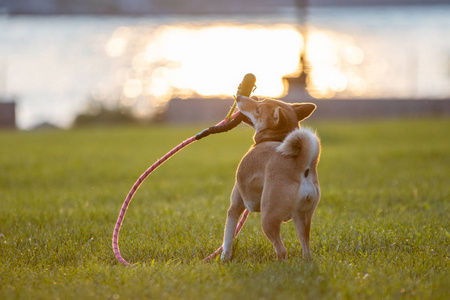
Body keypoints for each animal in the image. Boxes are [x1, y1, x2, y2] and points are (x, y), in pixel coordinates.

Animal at [221, 95, 320, 260]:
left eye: (258, 109)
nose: (240, 96)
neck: (276, 138)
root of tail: (301, 164)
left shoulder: (235, 205)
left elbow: (228, 236)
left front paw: (224, 257)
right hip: (302, 219)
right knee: (306, 250)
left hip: (268, 219)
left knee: (282, 250)